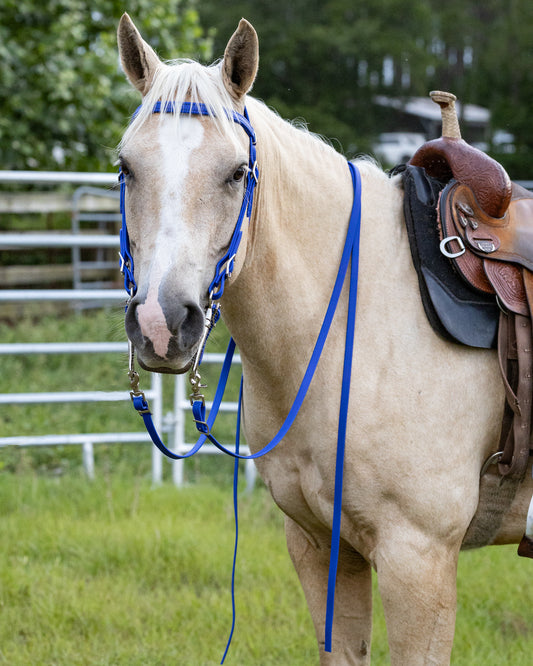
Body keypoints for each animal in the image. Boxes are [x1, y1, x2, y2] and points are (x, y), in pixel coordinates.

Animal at [116, 14, 532, 664]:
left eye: (236, 173)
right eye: (126, 168)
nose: (162, 324)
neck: (352, 329)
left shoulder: (420, 560)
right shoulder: (319, 544)